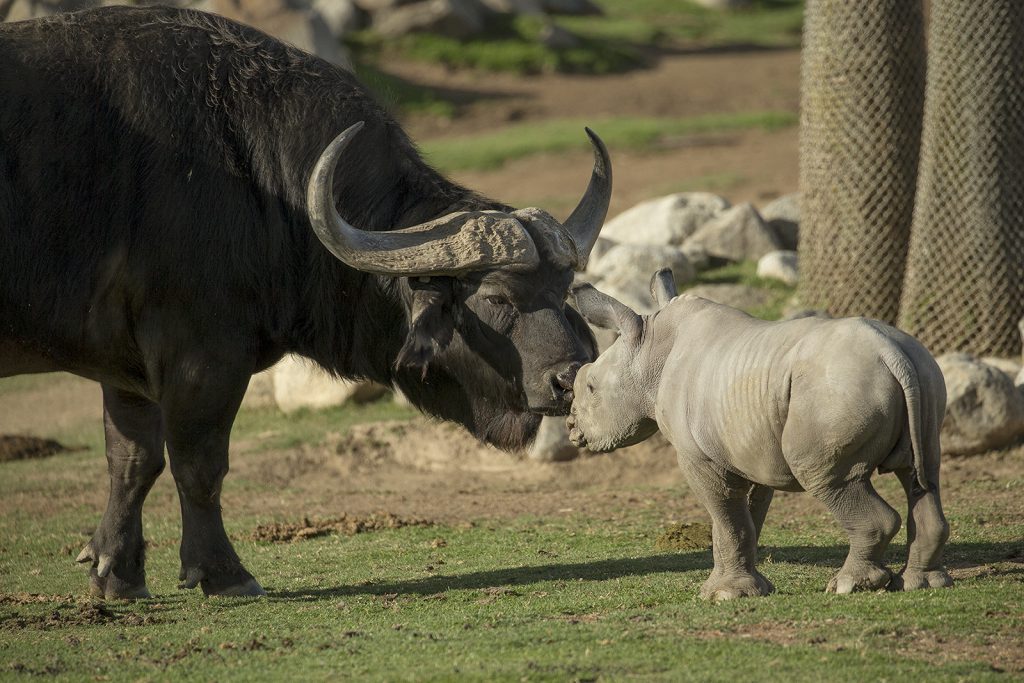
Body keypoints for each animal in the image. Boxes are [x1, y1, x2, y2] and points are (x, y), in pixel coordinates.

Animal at [0, 7, 606, 602]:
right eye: (498, 295)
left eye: (563, 289)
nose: (571, 379)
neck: (257, 180)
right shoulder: (201, 358)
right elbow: (199, 464)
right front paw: (224, 573)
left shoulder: (127, 369)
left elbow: (131, 461)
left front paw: (117, 573)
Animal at [569, 270, 950, 602]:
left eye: (591, 388)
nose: (573, 430)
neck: (649, 353)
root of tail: (890, 352)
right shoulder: (750, 447)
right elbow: (747, 519)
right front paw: (749, 589)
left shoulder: (698, 456)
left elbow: (726, 517)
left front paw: (720, 596)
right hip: (924, 373)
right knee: (923, 472)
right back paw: (921, 583)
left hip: (838, 389)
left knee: (828, 476)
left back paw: (848, 586)